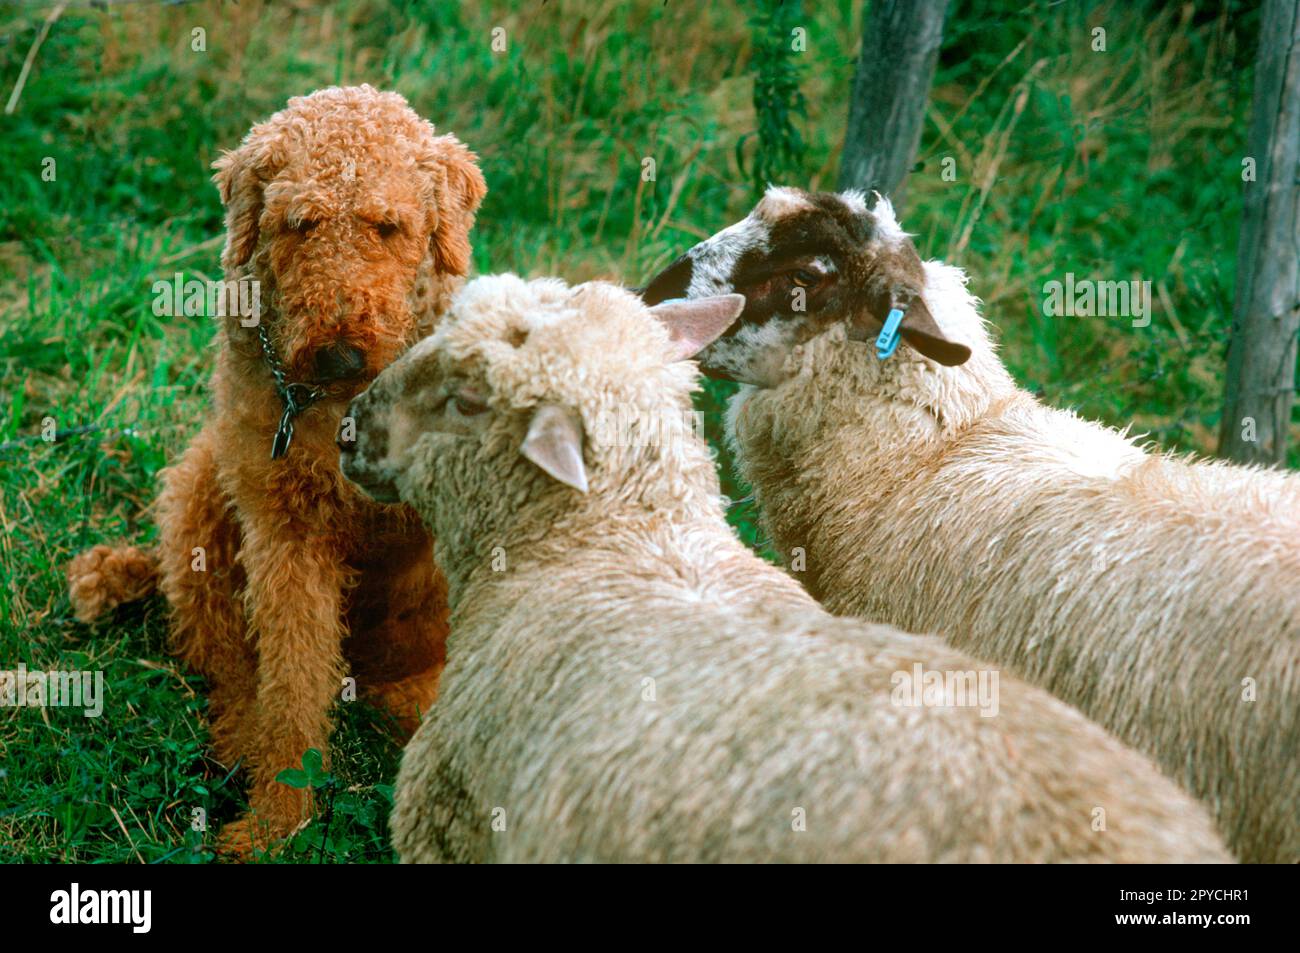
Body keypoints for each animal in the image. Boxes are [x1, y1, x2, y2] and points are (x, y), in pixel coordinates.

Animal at [64, 87, 488, 852]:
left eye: (388, 225)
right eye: (300, 223)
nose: (340, 356)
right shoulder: (290, 536)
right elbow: (290, 688)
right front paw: (276, 822)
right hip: (202, 493)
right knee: (226, 663)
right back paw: (238, 746)